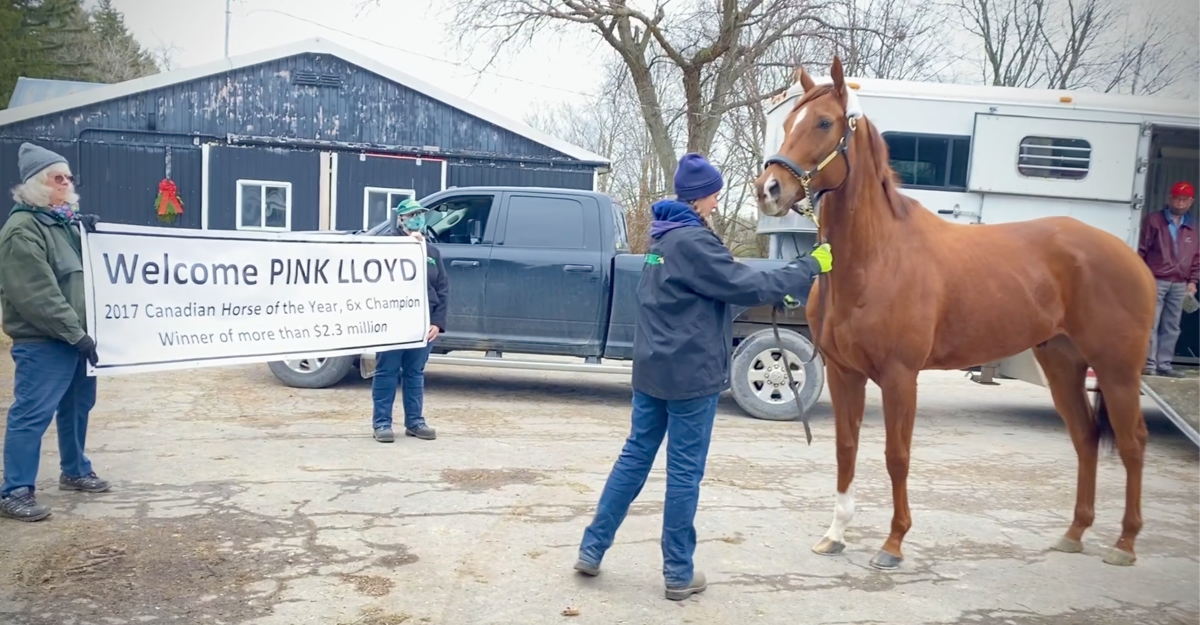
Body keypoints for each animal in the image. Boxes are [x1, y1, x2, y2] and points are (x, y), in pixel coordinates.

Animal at [753, 59, 1156, 571]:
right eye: (788, 124)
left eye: (824, 123)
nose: (769, 189)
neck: (877, 256)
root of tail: (1128, 257)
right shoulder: (846, 374)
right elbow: (847, 449)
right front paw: (835, 534)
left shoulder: (900, 376)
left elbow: (897, 455)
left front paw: (893, 544)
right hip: (1062, 363)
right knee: (1085, 437)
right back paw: (1074, 533)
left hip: (1117, 369)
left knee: (1132, 442)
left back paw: (1125, 543)